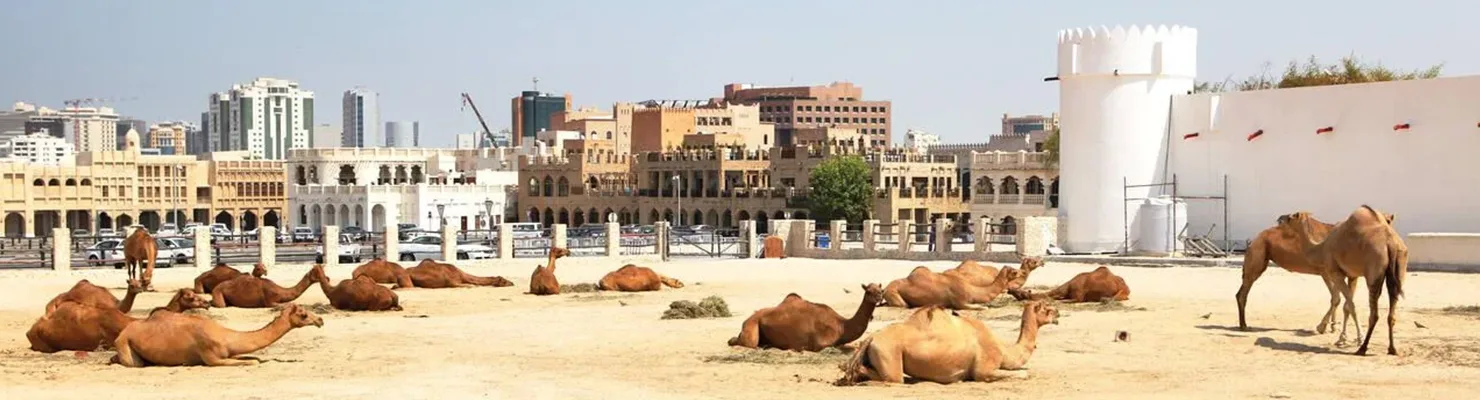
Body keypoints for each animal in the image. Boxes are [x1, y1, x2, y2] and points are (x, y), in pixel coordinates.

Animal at [111, 303, 324, 367]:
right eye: (303, 314)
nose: (320, 320)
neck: (226, 336)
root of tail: (123, 332)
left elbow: (253, 358)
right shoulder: (212, 357)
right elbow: (250, 362)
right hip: (125, 344)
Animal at [728, 283, 886, 352]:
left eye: (881, 289)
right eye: (868, 291)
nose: (879, 297)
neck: (842, 326)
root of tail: (746, 320)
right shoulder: (820, 343)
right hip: (752, 326)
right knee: (745, 342)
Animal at [838, 301, 1060, 385]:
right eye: (1046, 308)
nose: (1058, 314)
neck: (1004, 350)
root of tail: (872, 337)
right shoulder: (984, 370)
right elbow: (1022, 373)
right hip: (889, 353)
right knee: (892, 378)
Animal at [882, 266, 1021, 310]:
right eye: (1014, 272)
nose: (1021, 272)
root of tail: (885, 289)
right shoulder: (960, 301)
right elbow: (978, 307)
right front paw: (984, 307)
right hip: (894, 294)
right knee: (903, 304)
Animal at [1286, 206, 1408, 355]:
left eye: (1292, 216)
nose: (1282, 218)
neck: (1321, 248)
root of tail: (1390, 243)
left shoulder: (1336, 272)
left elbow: (1345, 303)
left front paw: (1353, 337)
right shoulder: (1352, 275)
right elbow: (1346, 306)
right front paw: (1342, 338)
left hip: (1374, 268)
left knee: (1374, 313)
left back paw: (1363, 348)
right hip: (1400, 266)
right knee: (1392, 306)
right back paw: (1392, 349)